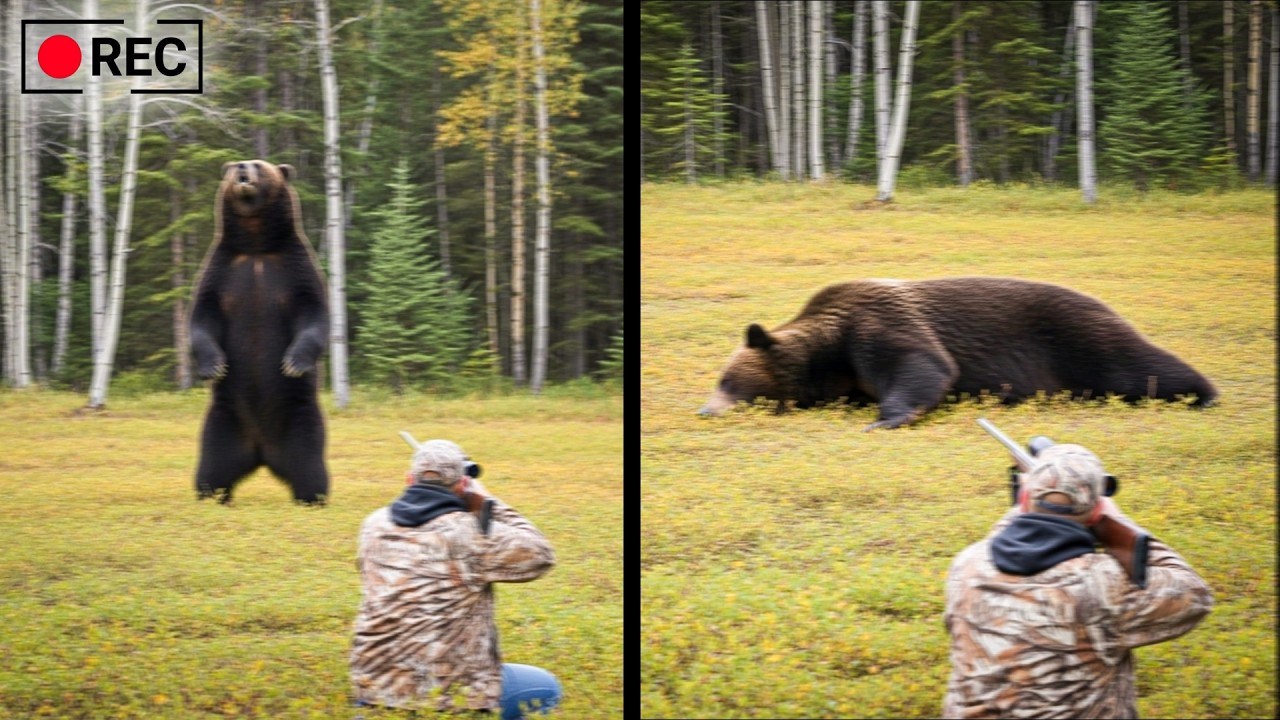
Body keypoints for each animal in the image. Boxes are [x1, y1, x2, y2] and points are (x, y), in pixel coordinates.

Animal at [189, 159, 331, 503]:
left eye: (258, 166)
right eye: (234, 166)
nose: (241, 168)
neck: (256, 246)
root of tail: (261, 451)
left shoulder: (294, 268)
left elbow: (314, 313)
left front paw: (293, 362)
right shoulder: (222, 270)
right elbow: (203, 315)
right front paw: (214, 366)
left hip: (300, 418)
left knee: (310, 466)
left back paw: (312, 498)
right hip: (222, 421)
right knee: (212, 468)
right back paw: (209, 496)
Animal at [700, 277, 1217, 430]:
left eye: (726, 380)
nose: (706, 409)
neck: (829, 355)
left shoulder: (877, 324)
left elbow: (925, 366)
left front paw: (886, 419)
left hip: (1080, 337)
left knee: (1140, 367)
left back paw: (1204, 392)